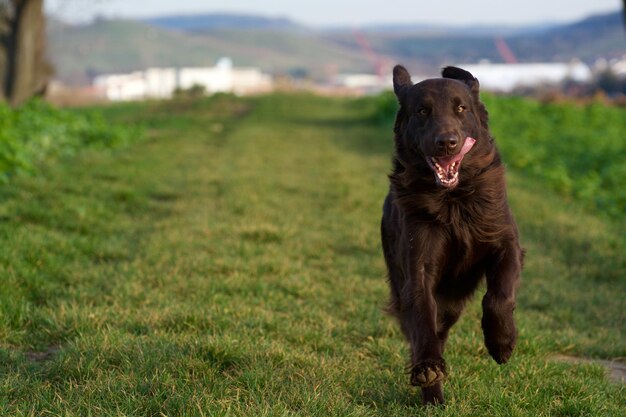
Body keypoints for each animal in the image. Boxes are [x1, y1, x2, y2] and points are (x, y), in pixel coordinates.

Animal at [380, 65, 520, 404]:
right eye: (422, 111)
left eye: (461, 109)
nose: (447, 142)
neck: (453, 200)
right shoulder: (417, 268)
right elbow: (422, 318)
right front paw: (429, 368)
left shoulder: (506, 242)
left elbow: (499, 296)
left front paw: (502, 342)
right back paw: (432, 390)